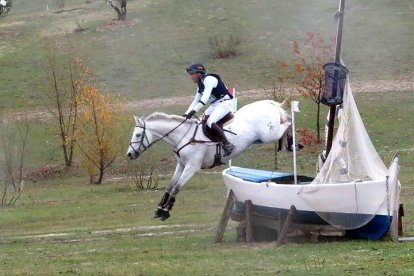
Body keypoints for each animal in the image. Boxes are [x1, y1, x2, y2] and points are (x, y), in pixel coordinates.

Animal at [126, 99, 292, 220]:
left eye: (138, 135)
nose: (129, 154)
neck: (183, 136)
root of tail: (268, 103)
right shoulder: (181, 165)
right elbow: (169, 186)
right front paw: (159, 209)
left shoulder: (192, 167)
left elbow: (176, 187)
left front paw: (166, 211)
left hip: (269, 135)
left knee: (288, 122)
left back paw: (290, 141)